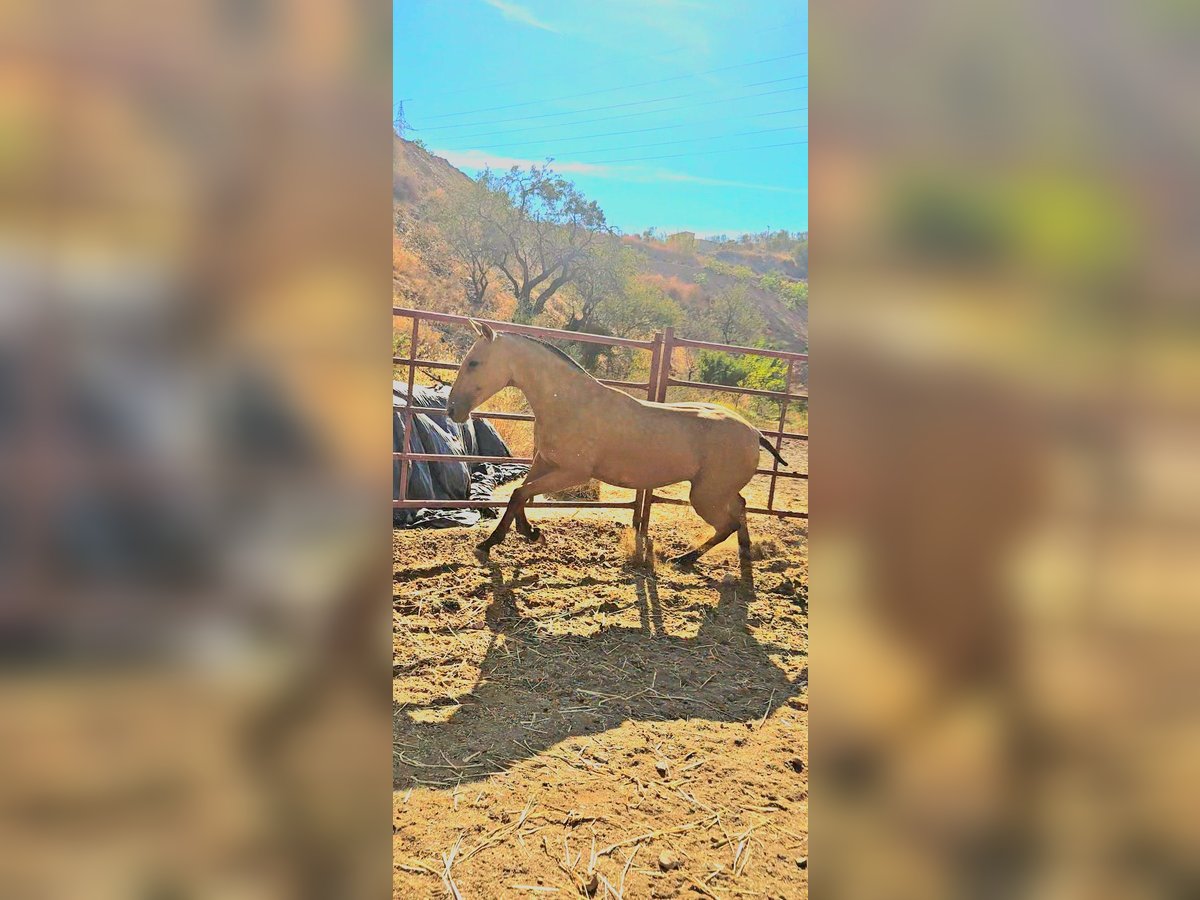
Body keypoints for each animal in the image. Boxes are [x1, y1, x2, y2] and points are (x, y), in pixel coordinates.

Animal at [446, 319, 789, 567]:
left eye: (474, 363)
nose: (451, 410)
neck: (570, 403)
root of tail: (754, 433)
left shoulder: (573, 472)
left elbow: (520, 492)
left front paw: (498, 541)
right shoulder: (545, 461)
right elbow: (520, 494)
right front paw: (526, 535)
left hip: (705, 496)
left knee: (727, 524)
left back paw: (684, 558)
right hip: (719, 491)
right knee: (741, 509)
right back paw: (745, 552)